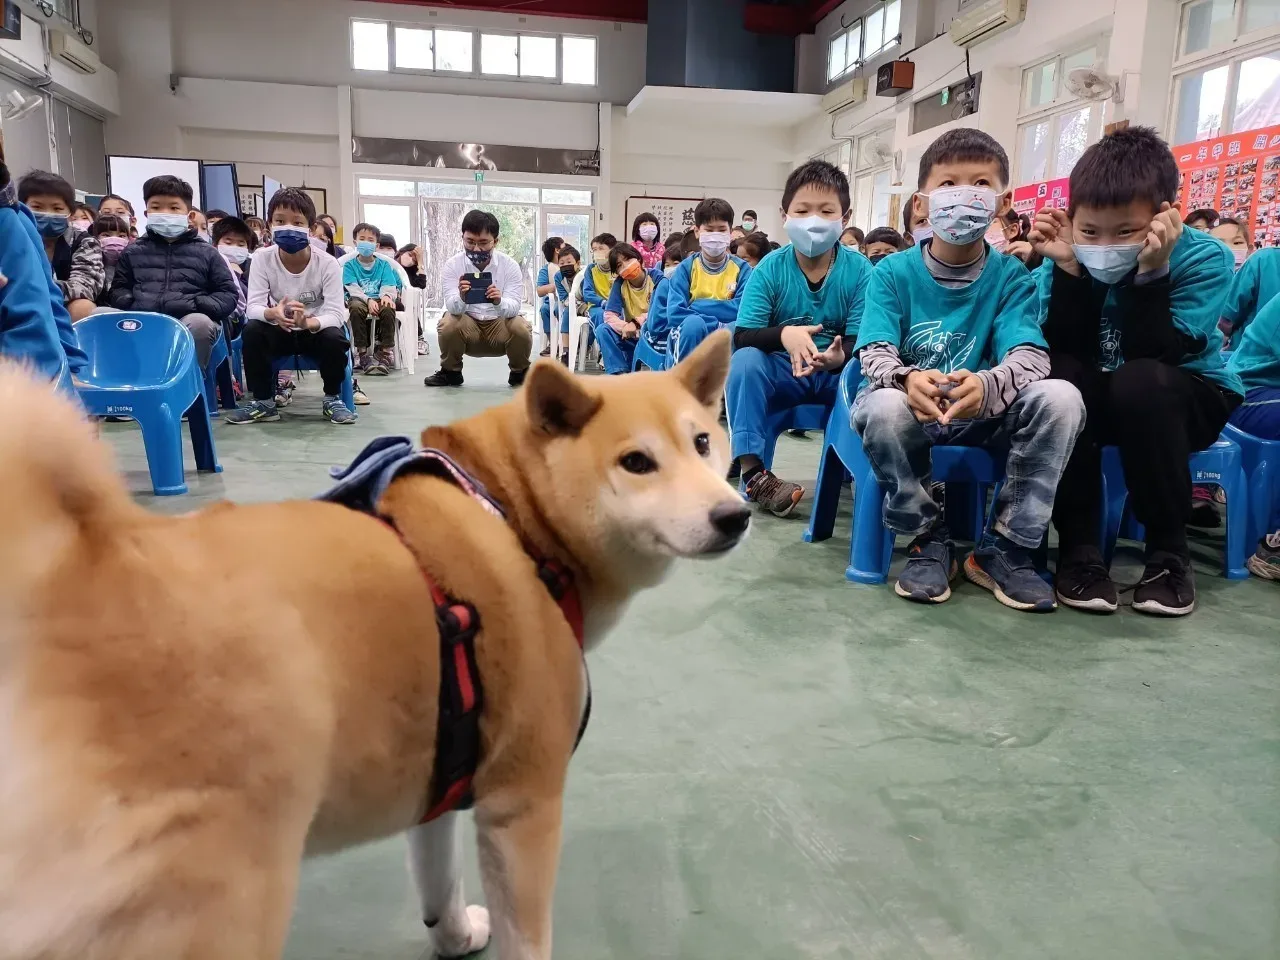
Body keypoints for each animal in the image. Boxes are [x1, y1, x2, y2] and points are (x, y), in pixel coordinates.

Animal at [0, 330, 747, 960]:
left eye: (703, 443)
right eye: (637, 462)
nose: (734, 514)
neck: (513, 519)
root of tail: (71, 564)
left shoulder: (442, 773)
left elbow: (438, 882)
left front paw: (453, 936)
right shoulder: (522, 805)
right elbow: (527, 939)